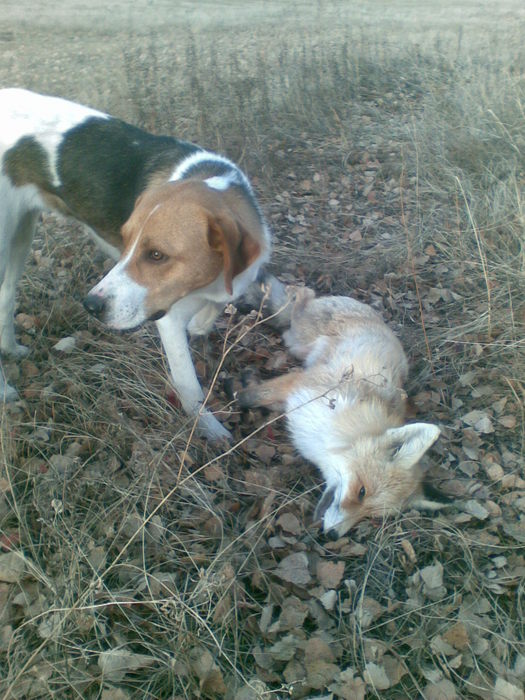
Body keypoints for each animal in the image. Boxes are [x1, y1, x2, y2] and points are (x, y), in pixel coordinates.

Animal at [239, 285, 443, 536]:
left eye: (369, 516)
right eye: (361, 491)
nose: (333, 535)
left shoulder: (294, 403)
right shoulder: (302, 385)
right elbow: (251, 397)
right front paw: (234, 393)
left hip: (295, 343)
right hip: (300, 338)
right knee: (300, 301)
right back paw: (296, 293)